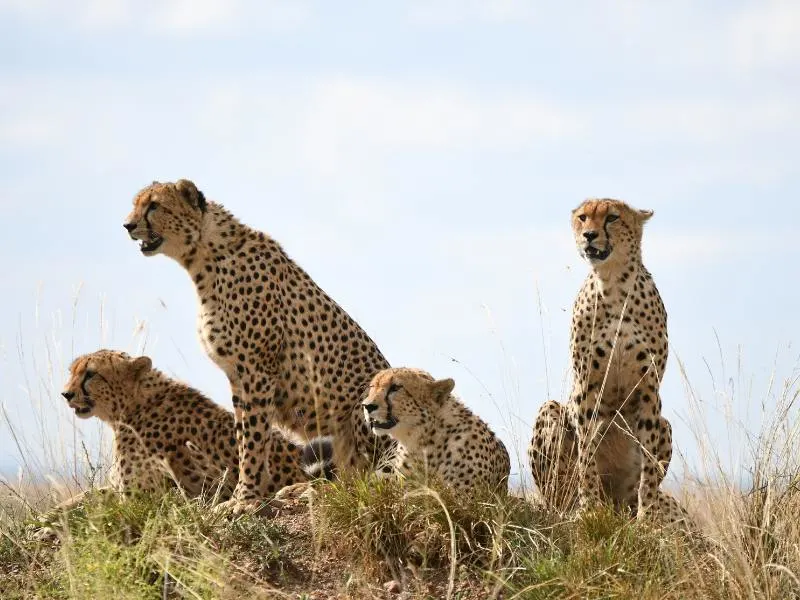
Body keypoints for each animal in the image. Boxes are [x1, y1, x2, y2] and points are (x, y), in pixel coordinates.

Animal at [57, 346, 330, 502]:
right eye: (72, 371)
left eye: (91, 374)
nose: (66, 394)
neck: (133, 404)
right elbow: (82, 497)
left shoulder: (145, 495)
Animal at [123, 178, 396, 510]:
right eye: (136, 204)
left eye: (154, 206)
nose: (128, 225)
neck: (205, 257)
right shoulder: (237, 376)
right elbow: (245, 438)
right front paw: (249, 493)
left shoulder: (257, 371)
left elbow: (254, 439)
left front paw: (246, 499)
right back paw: (298, 489)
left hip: (365, 407)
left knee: (367, 483)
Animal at [532, 200, 680, 520]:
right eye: (583, 217)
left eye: (612, 217)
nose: (589, 235)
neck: (613, 283)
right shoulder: (586, 387)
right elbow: (587, 453)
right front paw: (589, 509)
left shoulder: (649, 387)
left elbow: (649, 468)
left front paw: (647, 515)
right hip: (550, 411)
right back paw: (574, 509)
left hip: (664, 425)